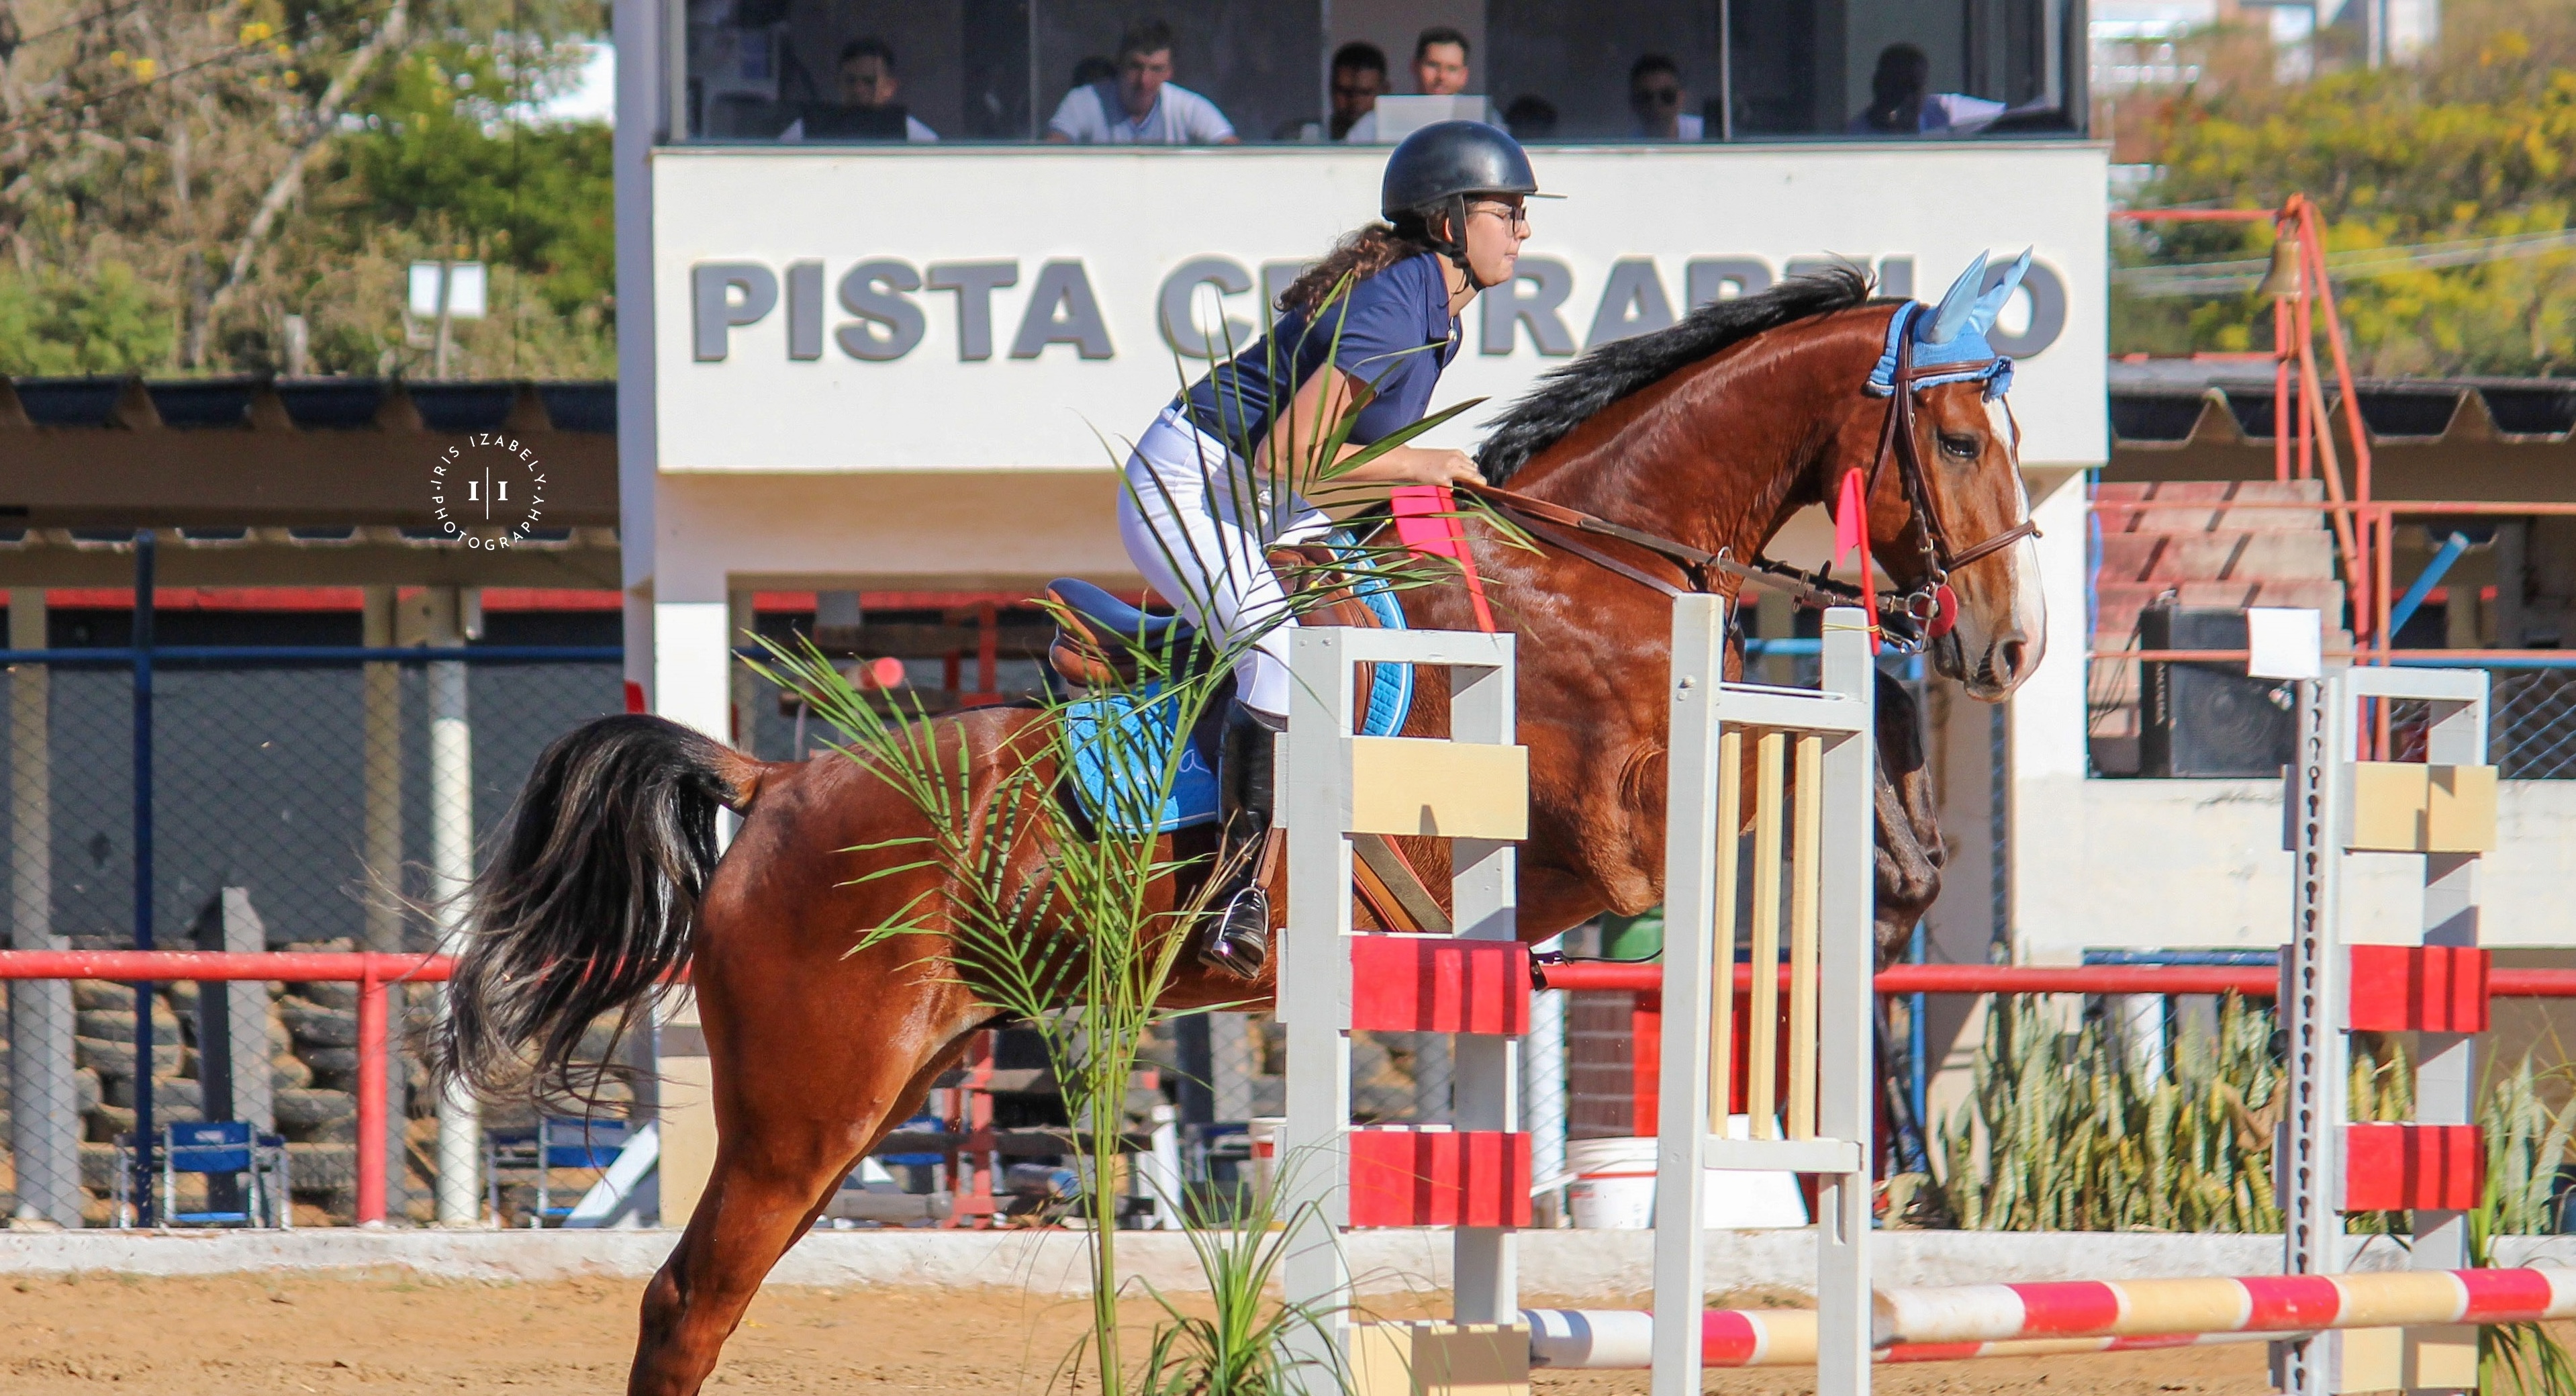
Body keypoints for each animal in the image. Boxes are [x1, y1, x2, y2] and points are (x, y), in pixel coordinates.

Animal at [429, 264, 2044, 1395]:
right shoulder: (1608, 827)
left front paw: (1901, 887)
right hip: (805, 1100)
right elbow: (1730, 811)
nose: (2014, 647)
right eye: (1961, 436)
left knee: (713, 1292)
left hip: (888, 1087)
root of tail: (768, 788)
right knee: (685, 1300)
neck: (1599, 564)